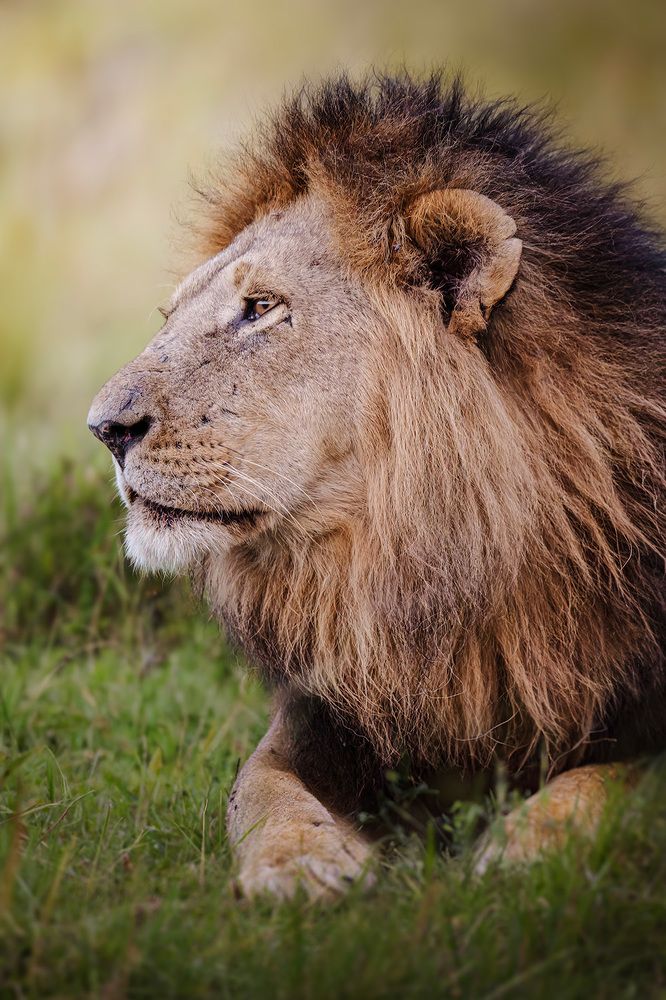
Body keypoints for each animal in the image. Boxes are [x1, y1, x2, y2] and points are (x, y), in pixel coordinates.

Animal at [88, 74, 665, 899]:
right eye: (171, 314)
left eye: (260, 308)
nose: (103, 428)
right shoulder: (327, 718)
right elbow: (255, 789)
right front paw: (297, 865)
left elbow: (618, 779)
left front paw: (522, 854)